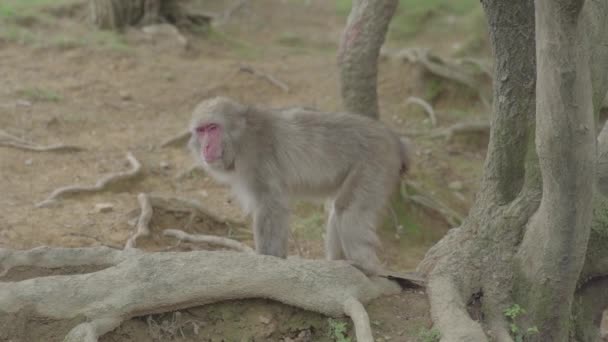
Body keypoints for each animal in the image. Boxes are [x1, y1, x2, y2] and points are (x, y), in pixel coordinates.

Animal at [188, 96, 410, 276]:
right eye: (201, 130)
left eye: (213, 128)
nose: (206, 147)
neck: (241, 138)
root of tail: (394, 139)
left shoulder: (257, 159)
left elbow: (272, 206)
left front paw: (268, 259)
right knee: (337, 208)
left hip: (375, 161)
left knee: (347, 208)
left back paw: (367, 267)